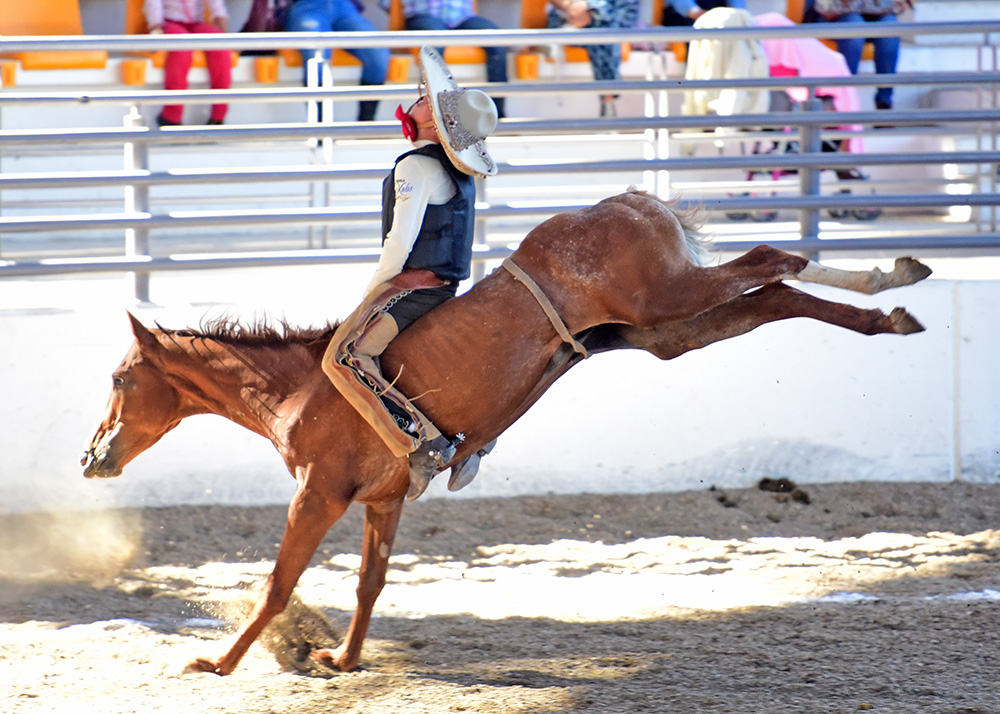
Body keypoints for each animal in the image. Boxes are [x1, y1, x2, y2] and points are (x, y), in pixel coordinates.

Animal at [78, 188, 928, 672]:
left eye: (119, 379)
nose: (92, 456)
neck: (298, 389)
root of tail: (625, 199)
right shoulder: (383, 500)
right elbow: (369, 581)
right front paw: (342, 658)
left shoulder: (318, 496)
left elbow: (279, 582)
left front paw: (217, 664)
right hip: (670, 330)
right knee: (776, 291)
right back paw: (892, 306)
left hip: (669, 299)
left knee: (774, 255)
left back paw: (891, 274)